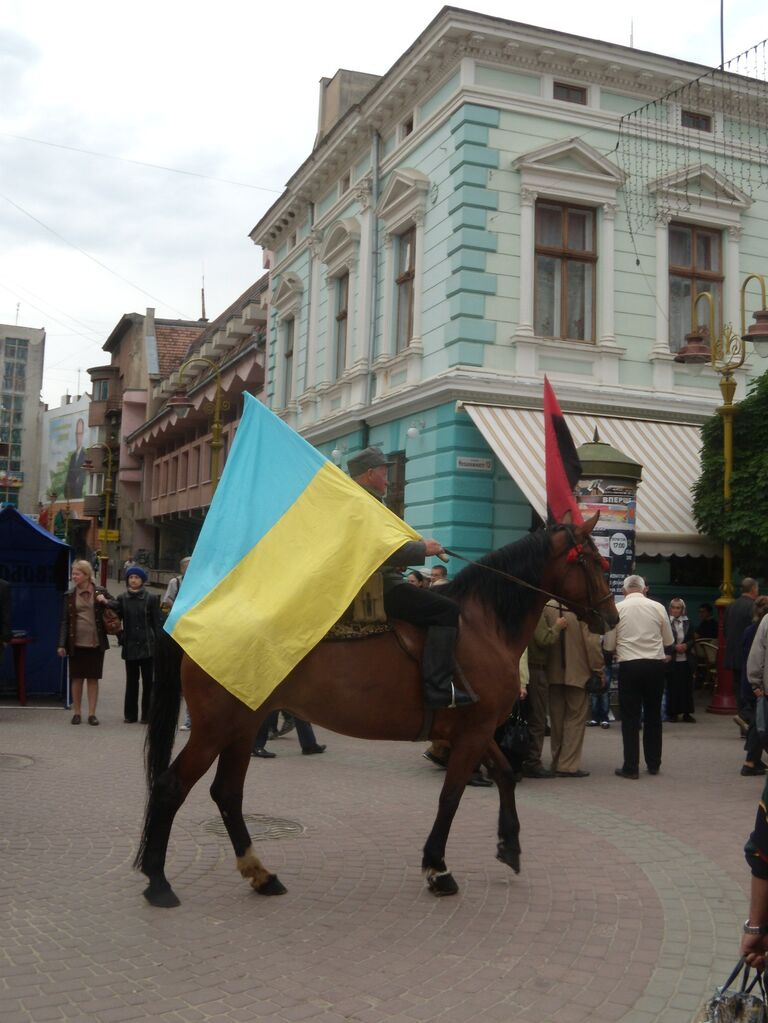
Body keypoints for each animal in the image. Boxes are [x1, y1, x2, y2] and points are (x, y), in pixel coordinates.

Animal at [137, 515, 617, 908]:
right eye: (596, 562)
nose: (611, 618)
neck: (481, 625)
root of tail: (188, 622)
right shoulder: (474, 732)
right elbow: (451, 797)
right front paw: (437, 868)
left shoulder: (475, 732)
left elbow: (504, 775)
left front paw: (510, 845)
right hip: (216, 728)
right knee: (171, 787)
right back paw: (158, 882)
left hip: (243, 725)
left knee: (227, 794)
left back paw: (261, 874)